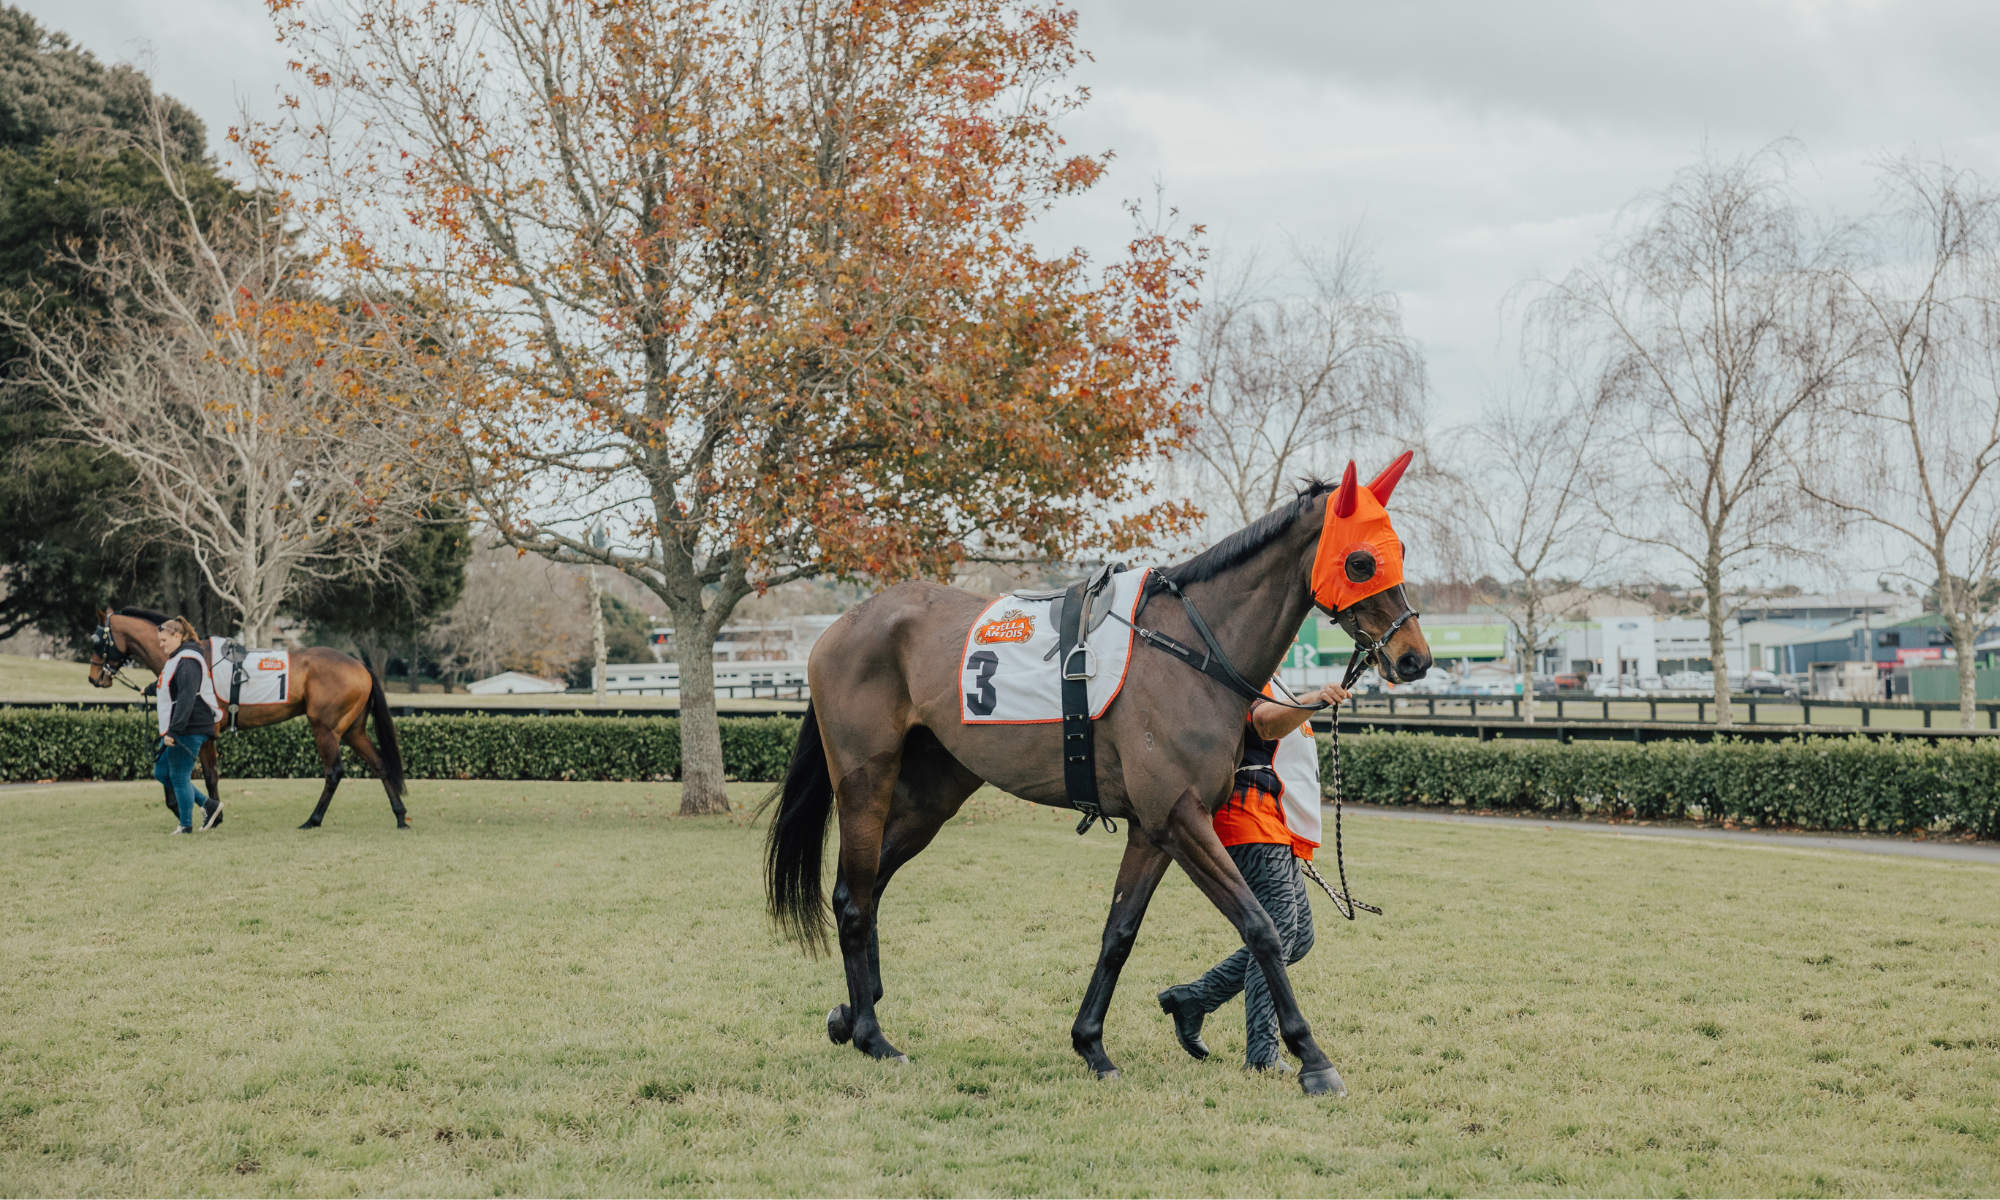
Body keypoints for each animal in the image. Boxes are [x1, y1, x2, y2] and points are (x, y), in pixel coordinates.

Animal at [88, 608, 408, 824]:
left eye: (96, 641)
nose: (93, 678)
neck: (189, 655)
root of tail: (362, 666)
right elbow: (170, 771)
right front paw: (184, 807)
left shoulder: (204, 734)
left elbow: (209, 775)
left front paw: (213, 814)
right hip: (353, 730)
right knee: (380, 765)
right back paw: (400, 815)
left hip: (325, 729)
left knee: (334, 772)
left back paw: (313, 819)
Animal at [764, 458, 1440, 1096]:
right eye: (1361, 560)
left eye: (1401, 550)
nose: (1414, 658)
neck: (1188, 651)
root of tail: (842, 626)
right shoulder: (1180, 818)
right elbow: (1261, 927)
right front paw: (1312, 1058)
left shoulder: (1153, 829)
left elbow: (1120, 933)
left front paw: (1091, 1044)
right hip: (865, 785)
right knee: (853, 898)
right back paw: (873, 1036)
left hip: (932, 796)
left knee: (870, 886)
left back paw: (852, 1013)